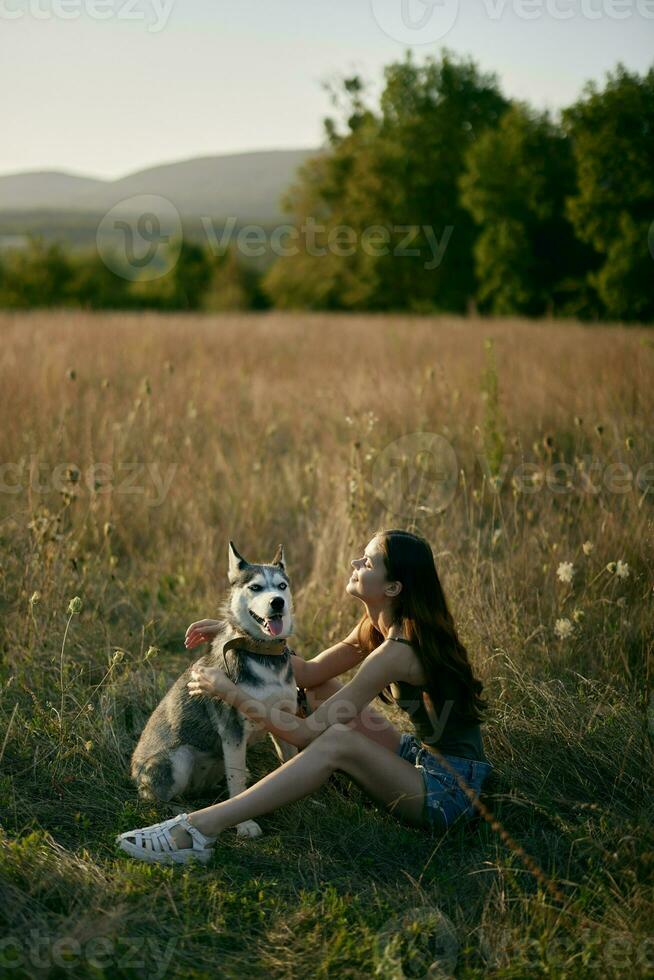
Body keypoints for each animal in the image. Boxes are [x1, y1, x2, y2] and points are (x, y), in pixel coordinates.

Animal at [131, 544, 300, 836]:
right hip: (179, 759)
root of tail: (133, 770)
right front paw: (243, 824)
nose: (277, 601)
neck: (262, 653)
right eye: (255, 587)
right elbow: (238, 781)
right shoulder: (233, 730)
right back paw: (180, 811)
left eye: (282, 586)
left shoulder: (284, 719)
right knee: (154, 799)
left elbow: (289, 762)